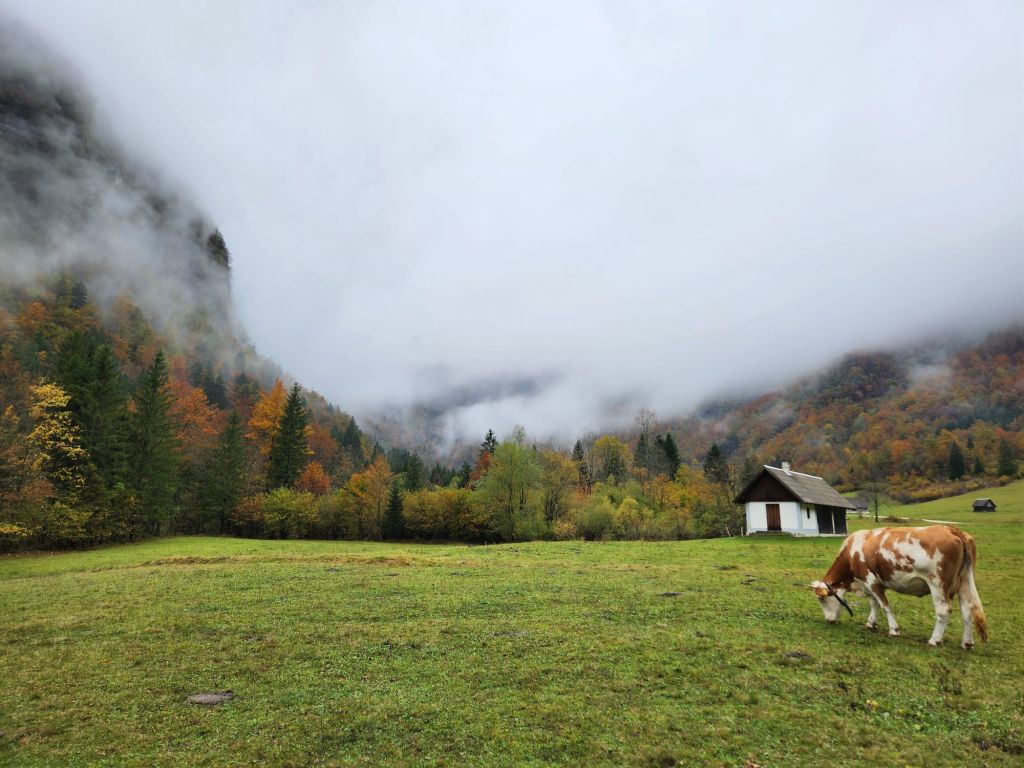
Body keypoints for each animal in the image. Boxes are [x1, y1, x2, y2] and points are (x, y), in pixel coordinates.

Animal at [810, 525, 987, 649]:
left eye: (821, 599)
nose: (829, 621)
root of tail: (953, 530)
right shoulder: (871, 583)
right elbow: (874, 604)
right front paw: (871, 623)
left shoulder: (870, 580)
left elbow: (884, 605)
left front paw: (894, 630)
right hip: (964, 581)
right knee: (968, 609)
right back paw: (967, 643)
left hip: (938, 584)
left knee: (943, 611)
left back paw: (934, 640)